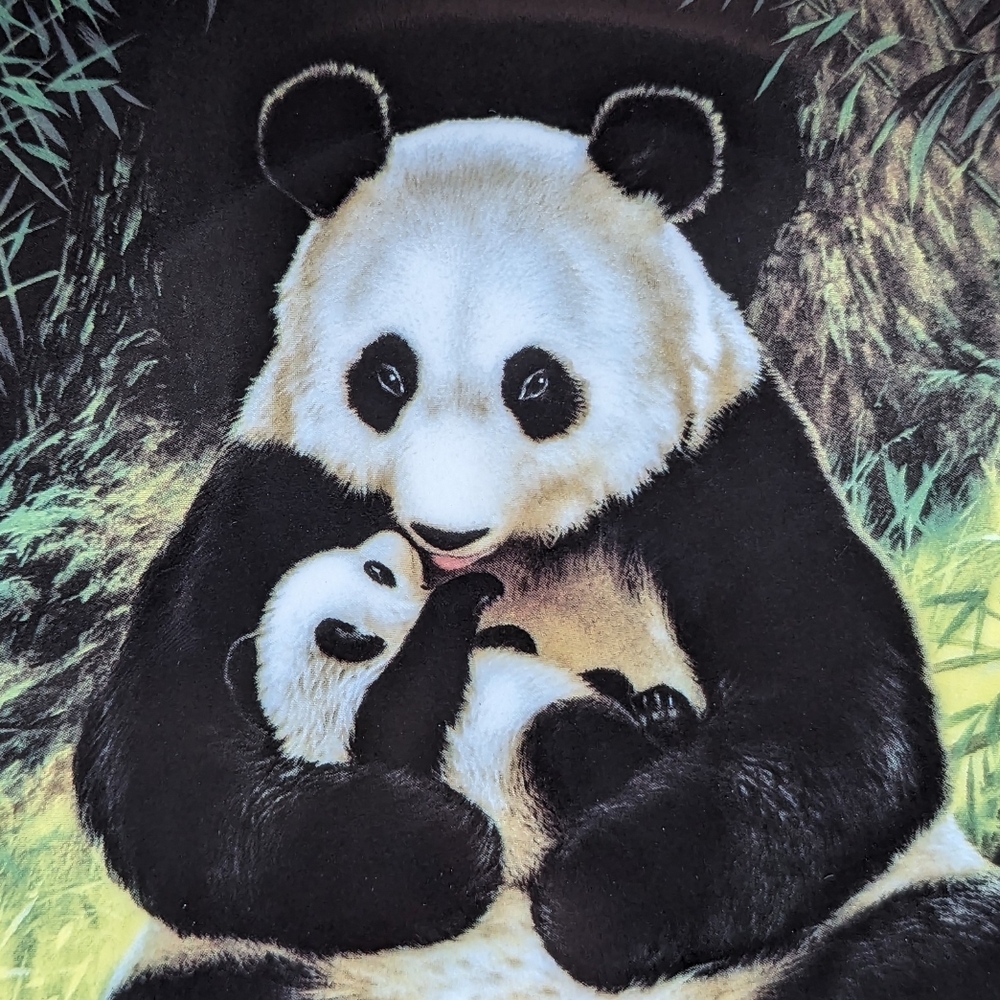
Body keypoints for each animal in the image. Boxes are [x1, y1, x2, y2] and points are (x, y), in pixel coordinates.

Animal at [76, 64, 1000, 1000]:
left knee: (929, 940)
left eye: (535, 384)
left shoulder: (727, 465)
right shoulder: (276, 484)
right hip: (267, 961)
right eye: (387, 375)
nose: (443, 529)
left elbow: (833, 705)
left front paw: (595, 901)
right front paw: (434, 851)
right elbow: (168, 766)